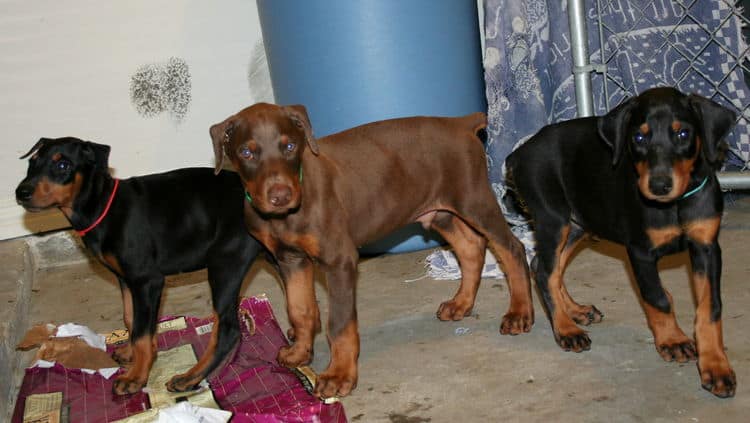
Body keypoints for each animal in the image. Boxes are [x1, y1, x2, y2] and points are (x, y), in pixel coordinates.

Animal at [14, 137, 264, 396]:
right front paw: (135, 353)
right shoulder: (127, 279)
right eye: (32, 162)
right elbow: (132, 320)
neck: (101, 207)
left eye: (62, 165)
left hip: (224, 265)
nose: (21, 193)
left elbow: (141, 332)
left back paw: (189, 377)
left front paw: (136, 377)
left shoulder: (147, 280)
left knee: (228, 329)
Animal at [212, 104, 536, 400]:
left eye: (289, 146)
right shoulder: (291, 260)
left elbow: (339, 324)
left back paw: (519, 313)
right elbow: (300, 309)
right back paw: (461, 303)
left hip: (474, 201)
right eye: (246, 152)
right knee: (471, 248)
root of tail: (459, 123)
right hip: (440, 212)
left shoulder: (339, 260)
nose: (281, 196)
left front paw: (339, 374)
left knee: (512, 248)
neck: (284, 216)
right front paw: (300, 352)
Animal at [508, 88, 736, 400]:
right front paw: (673, 340)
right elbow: (657, 297)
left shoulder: (707, 247)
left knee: (543, 266)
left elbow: (710, 308)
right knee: (545, 271)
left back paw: (575, 311)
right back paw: (566, 329)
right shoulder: (640, 251)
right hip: (552, 219)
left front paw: (715, 365)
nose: (659, 185)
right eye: (638, 137)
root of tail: (518, 153)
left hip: (580, 223)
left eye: (683, 134)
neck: (675, 204)